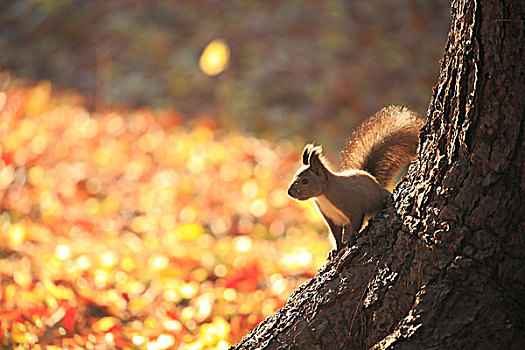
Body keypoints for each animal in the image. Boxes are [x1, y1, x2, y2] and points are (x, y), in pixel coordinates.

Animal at [286, 105, 422, 256]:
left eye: (305, 181)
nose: (290, 192)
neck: (324, 195)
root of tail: (374, 180)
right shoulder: (332, 219)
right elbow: (336, 235)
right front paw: (337, 249)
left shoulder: (354, 205)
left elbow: (356, 224)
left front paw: (351, 240)